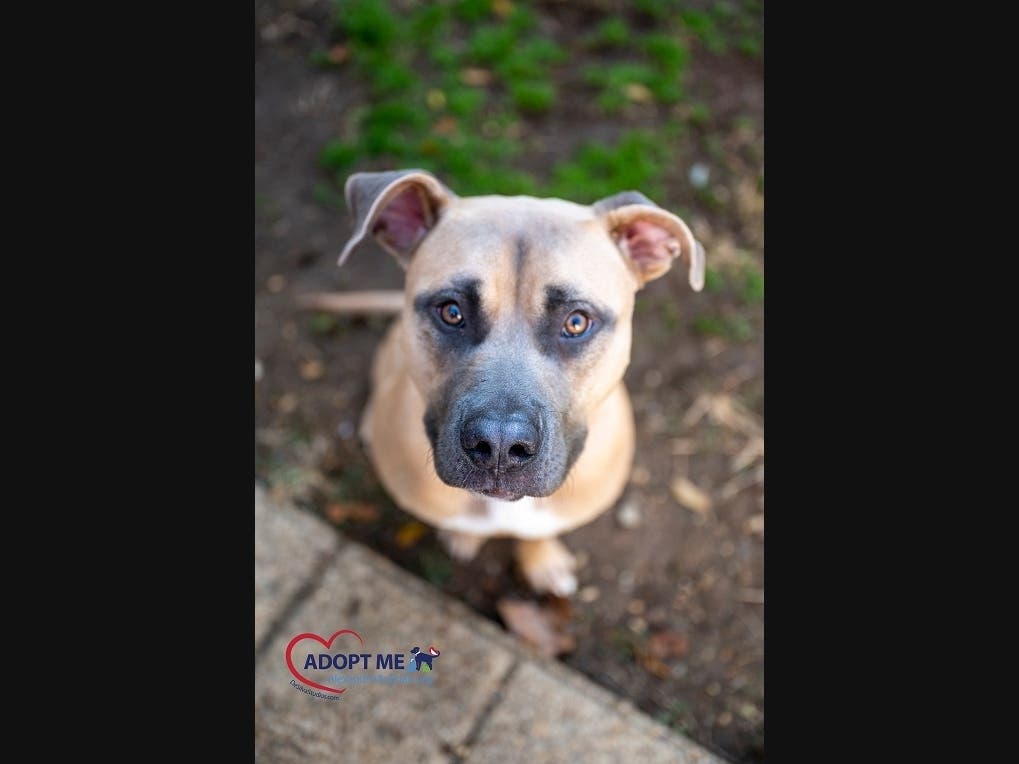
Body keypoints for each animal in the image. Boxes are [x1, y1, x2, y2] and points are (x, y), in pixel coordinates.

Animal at [317, 169, 701, 598]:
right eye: (451, 312)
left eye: (577, 322)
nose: (500, 445)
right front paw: (465, 536)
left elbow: (538, 532)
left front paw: (542, 561)